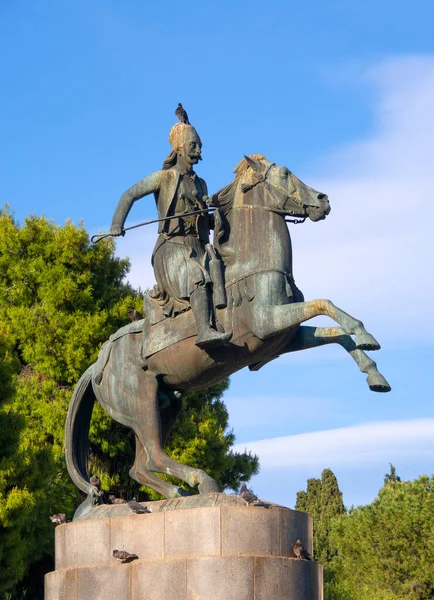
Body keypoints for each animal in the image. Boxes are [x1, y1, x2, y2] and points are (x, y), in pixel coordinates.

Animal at [66, 154, 392, 516]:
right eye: (284, 174)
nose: (323, 200)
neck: (253, 265)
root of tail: (98, 364)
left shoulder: (286, 337)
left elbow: (337, 333)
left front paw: (375, 373)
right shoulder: (269, 322)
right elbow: (326, 304)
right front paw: (366, 334)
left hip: (166, 403)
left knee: (142, 464)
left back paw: (178, 494)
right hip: (141, 403)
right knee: (154, 455)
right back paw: (201, 482)